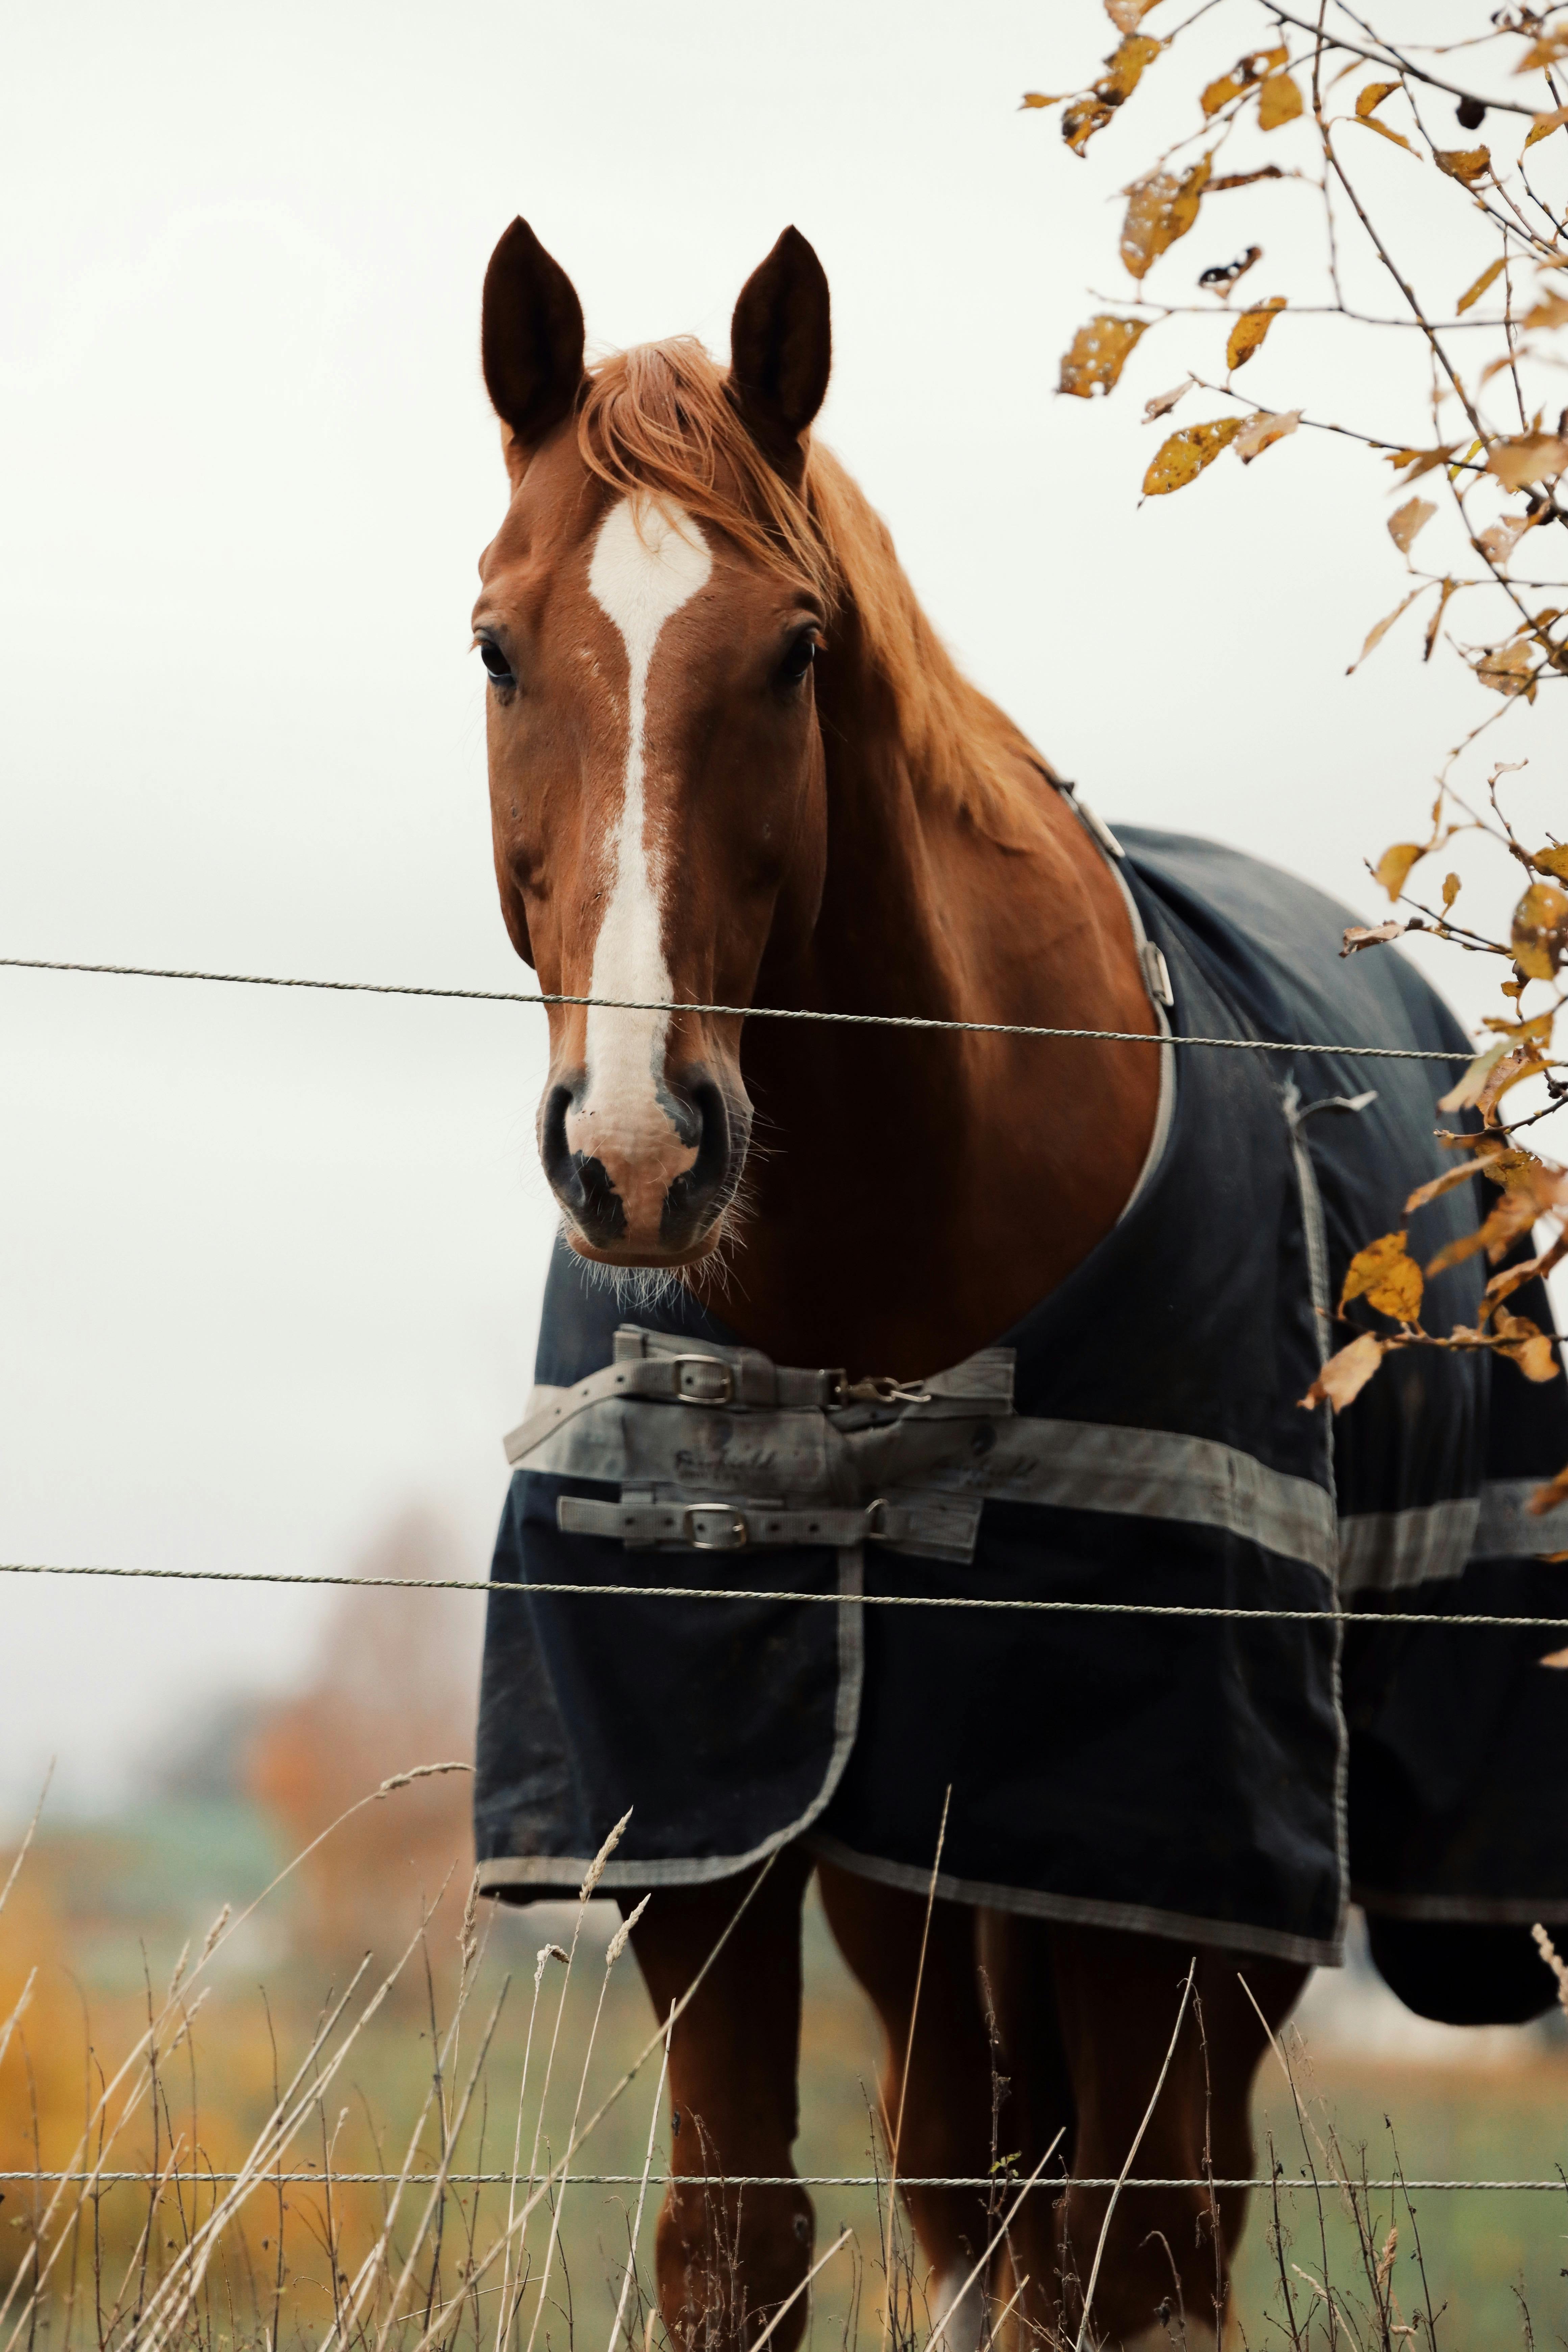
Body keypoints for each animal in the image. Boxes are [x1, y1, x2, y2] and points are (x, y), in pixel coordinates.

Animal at [465, 221, 1568, 2352]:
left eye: (795, 647)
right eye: (493, 644)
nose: (638, 1150)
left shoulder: (1151, 1837)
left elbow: (1124, 2261)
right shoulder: (708, 1822)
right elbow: (740, 2247)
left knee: (1154, 2224)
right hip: (914, 1865)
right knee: (972, 2187)